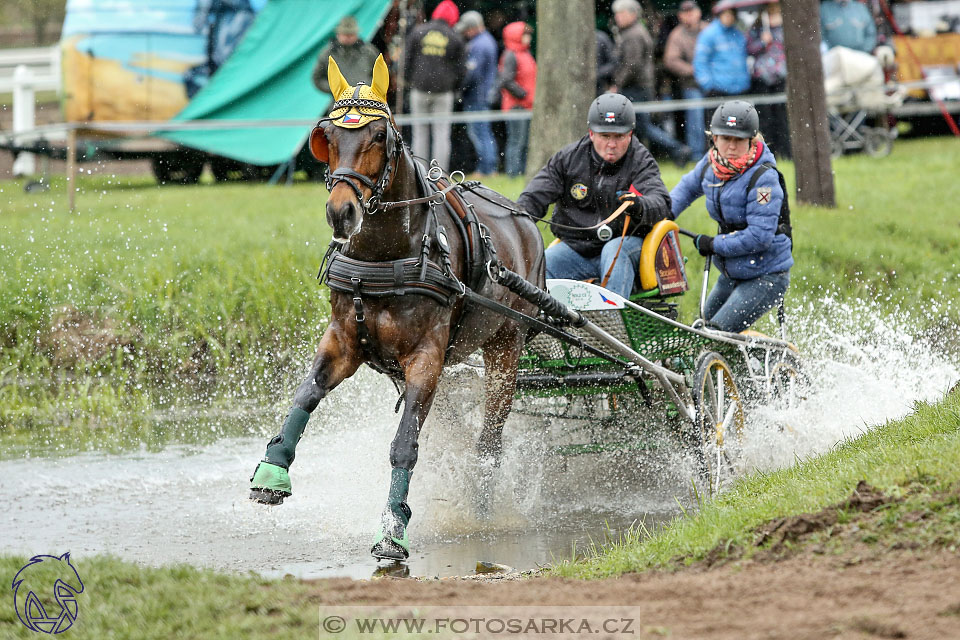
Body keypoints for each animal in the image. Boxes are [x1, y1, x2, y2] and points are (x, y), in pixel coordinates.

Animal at [248, 55, 544, 560]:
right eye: (327, 137)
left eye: (378, 137)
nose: (341, 212)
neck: (384, 256)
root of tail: (525, 221)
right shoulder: (343, 340)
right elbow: (306, 394)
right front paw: (273, 469)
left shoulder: (426, 358)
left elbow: (405, 443)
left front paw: (392, 527)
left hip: (506, 345)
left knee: (490, 437)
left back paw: (481, 498)